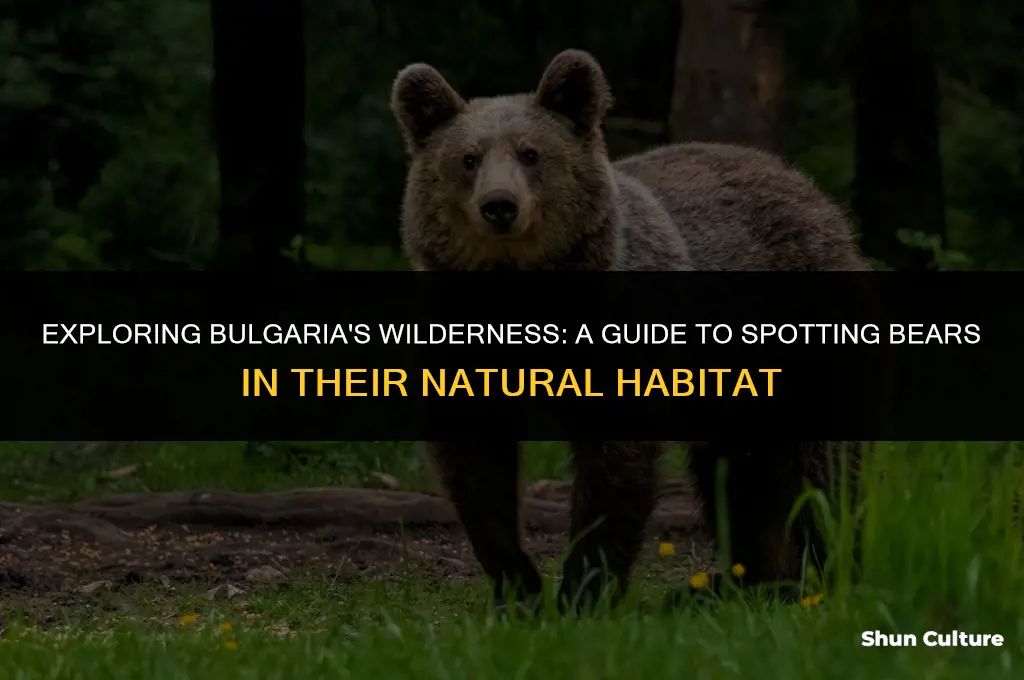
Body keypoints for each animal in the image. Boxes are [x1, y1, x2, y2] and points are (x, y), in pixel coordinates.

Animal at [390, 49, 867, 612]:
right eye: (468, 159)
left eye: (531, 154)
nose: (500, 205)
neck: (525, 297)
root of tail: (803, 184)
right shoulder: (461, 344)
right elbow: (477, 464)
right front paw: (518, 588)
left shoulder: (619, 340)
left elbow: (614, 467)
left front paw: (583, 591)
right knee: (735, 472)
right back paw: (738, 584)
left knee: (816, 468)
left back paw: (817, 574)